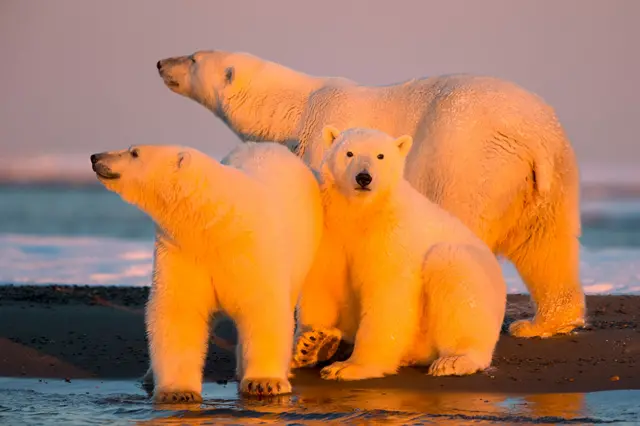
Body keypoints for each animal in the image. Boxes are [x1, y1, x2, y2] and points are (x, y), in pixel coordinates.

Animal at [90, 142, 323, 401]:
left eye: (134, 152)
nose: (95, 157)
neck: (214, 222)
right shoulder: (182, 249)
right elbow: (180, 311)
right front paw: (177, 392)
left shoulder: (252, 249)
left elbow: (262, 308)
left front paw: (264, 382)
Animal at [155, 50, 584, 339]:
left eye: (192, 59)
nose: (160, 63)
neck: (298, 107)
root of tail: (530, 136)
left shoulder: (326, 146)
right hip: (550, 172)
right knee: (548, 245)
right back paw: (540, 323)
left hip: (472, 162)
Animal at [291, 126, 507, 381]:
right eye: (349, 153)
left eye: (380, 156)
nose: (364, 177)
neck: (359, 212)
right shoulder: (330, 231)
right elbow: (322, 281)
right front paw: (311, 343)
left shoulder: (391, 234)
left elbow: (386, 294)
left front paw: (348, 367)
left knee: (452, 271)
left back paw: (454, 360)